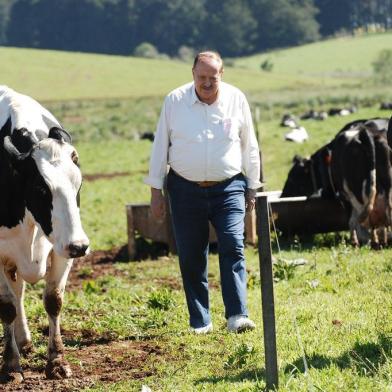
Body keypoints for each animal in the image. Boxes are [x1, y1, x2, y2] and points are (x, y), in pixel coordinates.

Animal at [0, 86, 89, 382]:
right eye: (41, 188)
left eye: (78, 185)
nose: (81, 246)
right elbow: (6, 306)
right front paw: (10, 365)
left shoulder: (62, 249)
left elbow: (53, 300)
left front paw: (57, 361)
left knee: (19, 292)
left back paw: (25, 340)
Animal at [282, 117, 392, 248]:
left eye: (292, 178)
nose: (282, 195)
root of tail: (366, 134)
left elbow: (352, 221)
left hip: (356, 192)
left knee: (363, 218)